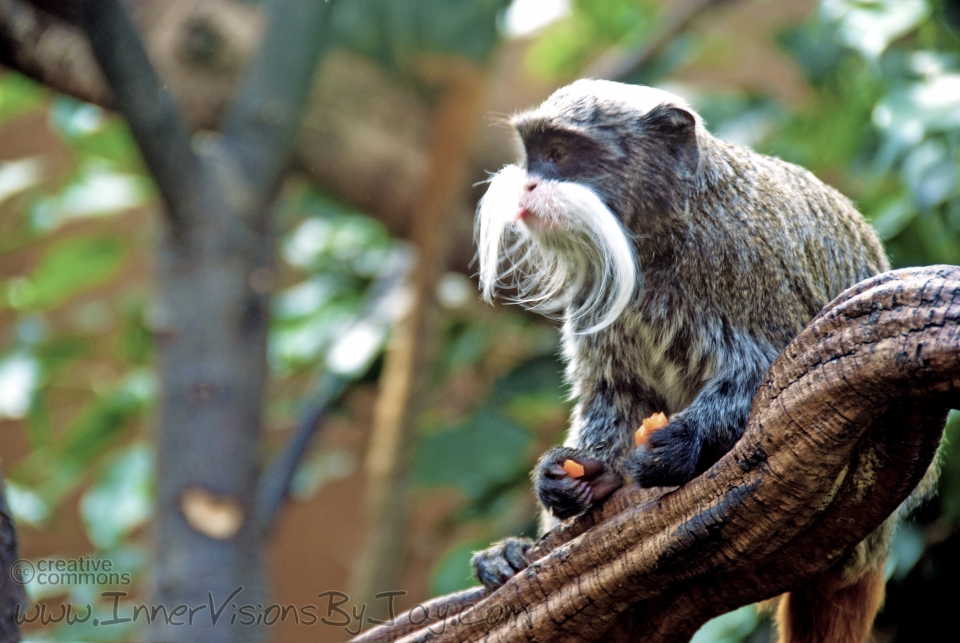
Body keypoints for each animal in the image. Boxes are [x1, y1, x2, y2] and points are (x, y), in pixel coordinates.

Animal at [472, 80, 908, 643]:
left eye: (560, 155)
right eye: (531, 154)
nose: (526, 185)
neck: (658, 237)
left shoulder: (746, 261)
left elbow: (770, 383)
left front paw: (678, 446)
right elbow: (614, 393)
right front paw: (569, 476)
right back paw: (514, 554)